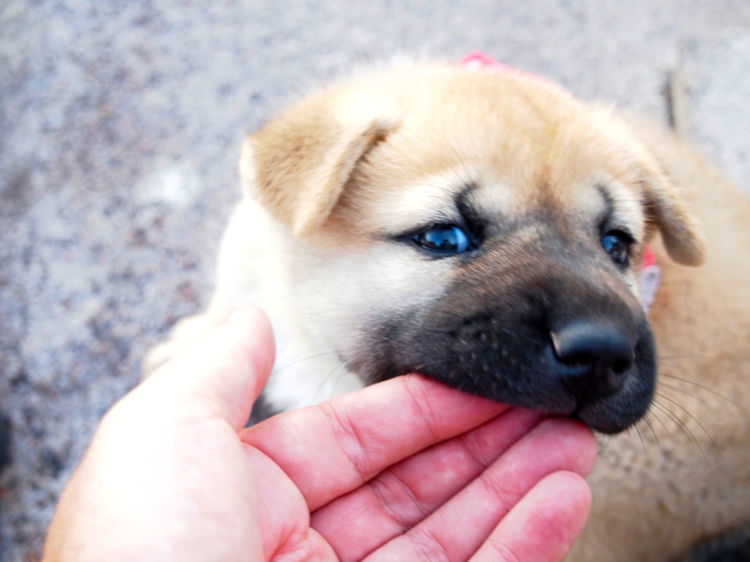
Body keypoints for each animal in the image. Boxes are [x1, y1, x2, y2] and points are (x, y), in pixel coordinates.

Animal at [147, 61, 750, 560]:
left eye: (616, 245)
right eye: (444, 237)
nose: (602, 350)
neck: (317, 333)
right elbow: (227, 309)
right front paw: (189, 350)